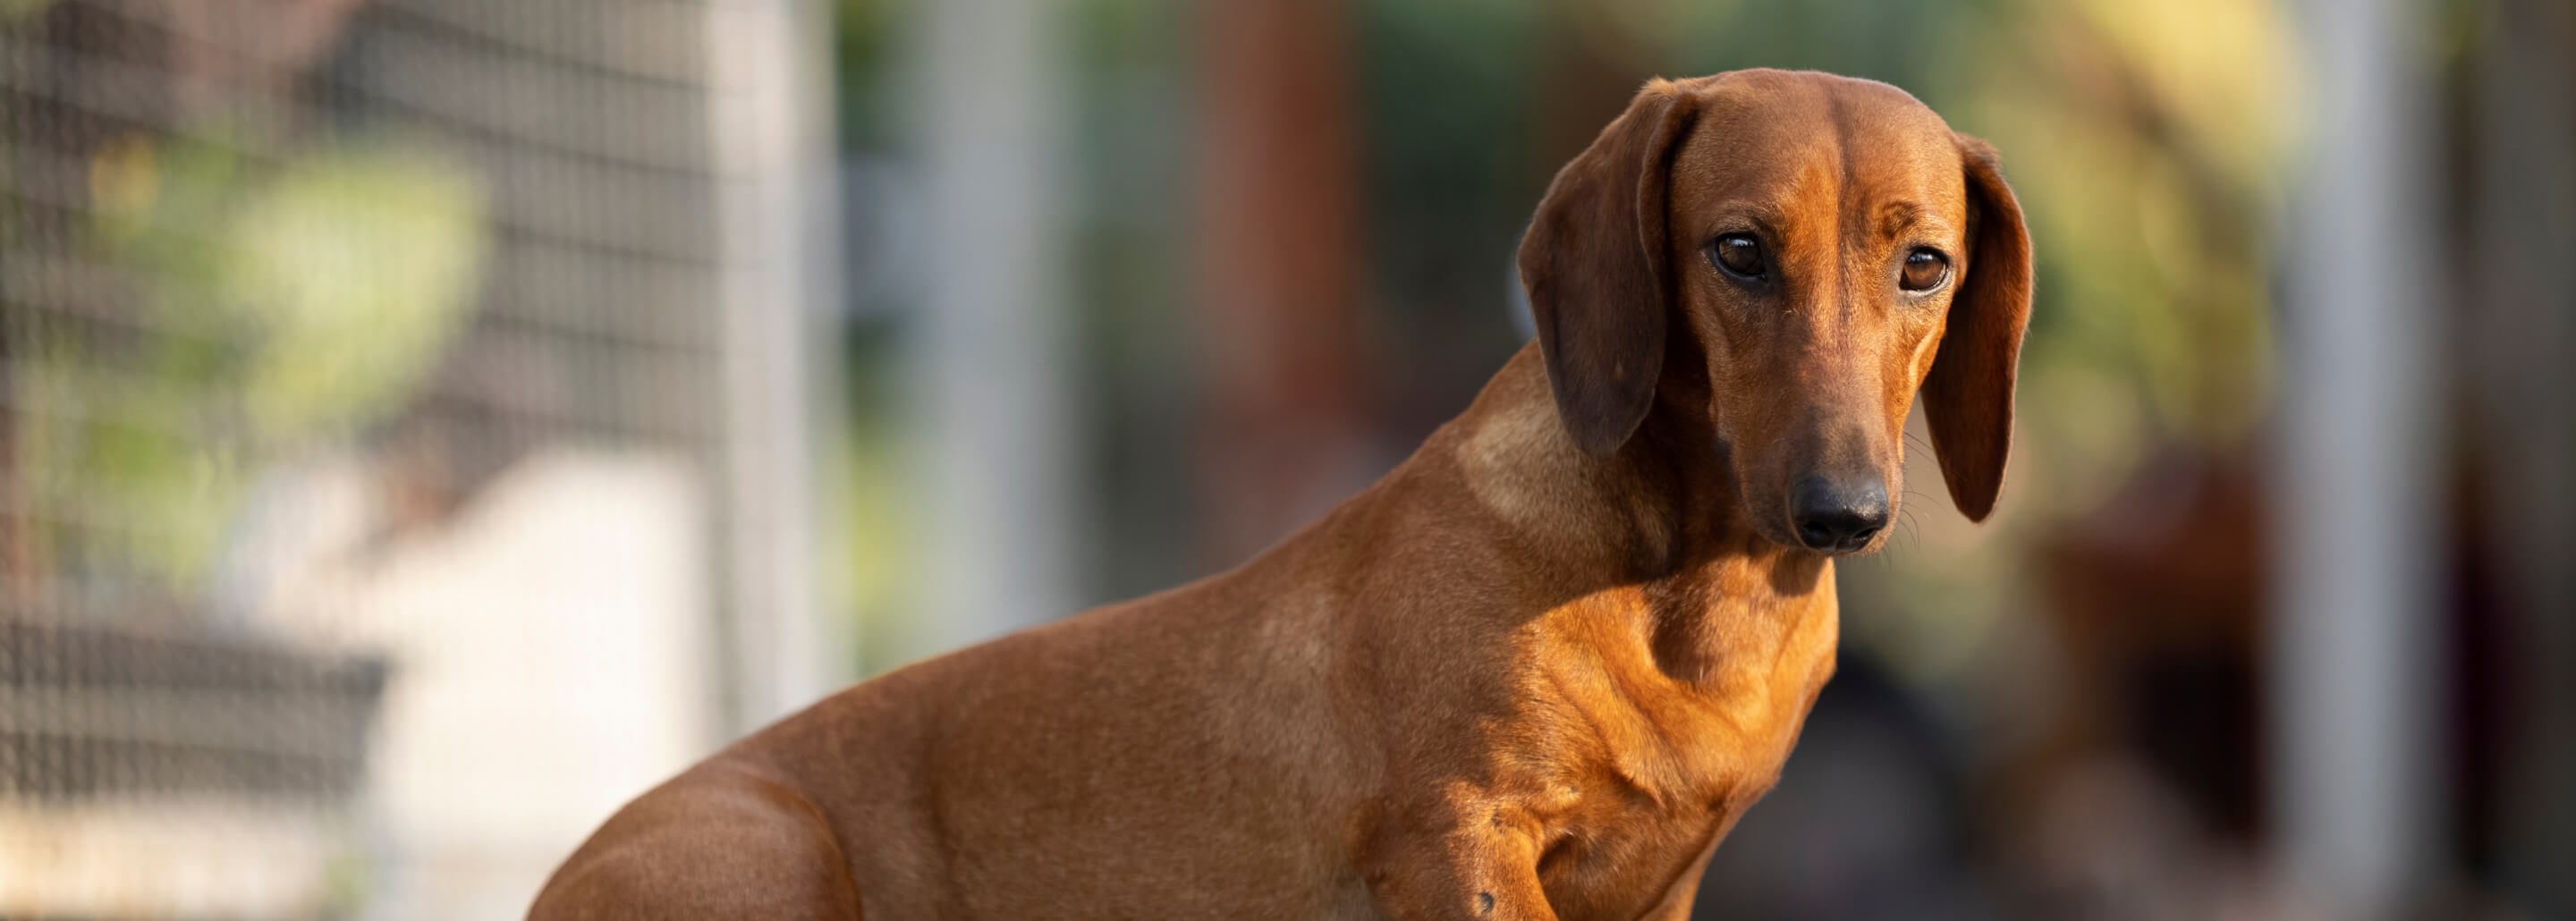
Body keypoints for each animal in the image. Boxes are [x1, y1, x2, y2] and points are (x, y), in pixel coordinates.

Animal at [528, 72, 2029, 921]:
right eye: (1737, 250)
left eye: (1927, 265)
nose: (1844, 511)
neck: (1689, 590)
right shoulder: (1460, 842)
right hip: (764, 851)